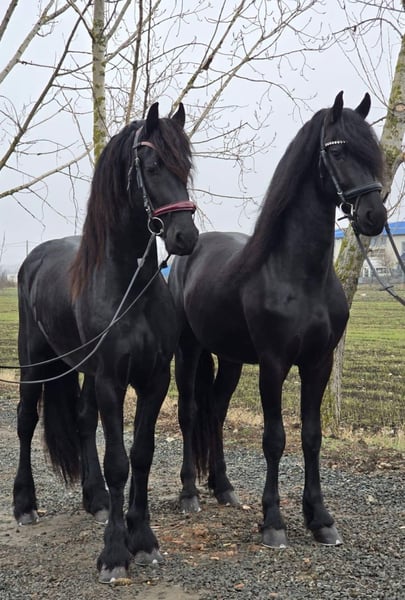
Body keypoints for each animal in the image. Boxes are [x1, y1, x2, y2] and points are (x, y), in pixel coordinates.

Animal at [13, 102, 199, 582]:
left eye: (186, 166)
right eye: (151, 166)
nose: (185, 237)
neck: (128, 288)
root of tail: (33, 259)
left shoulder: (153, 380)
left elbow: (142, 454)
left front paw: (143, 538)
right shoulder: (113, 381)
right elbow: (118, 462)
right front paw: (115, 553)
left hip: (84, 369)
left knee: (81, 420)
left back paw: (94, 500)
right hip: (34, 362)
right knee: (25, 422)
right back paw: (24, 505)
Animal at [168, 92, 387, 548]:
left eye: (372, 152)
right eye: (337, 151)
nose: (374, 215)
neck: (298, 274)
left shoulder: (318, 363)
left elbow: (311, 436)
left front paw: (320, 518)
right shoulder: (273, 364)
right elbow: (274, 439)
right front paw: (273, 522)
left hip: (230, 358)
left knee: (216, 410)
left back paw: (224, 488)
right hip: (189, 350)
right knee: (190, 411)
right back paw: (190, 493)